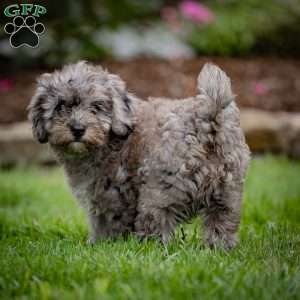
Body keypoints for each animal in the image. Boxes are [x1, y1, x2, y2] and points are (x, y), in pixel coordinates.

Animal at [28, 61, 250, 248]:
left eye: (96, 107)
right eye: (60, 106)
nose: (77, 129)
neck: (112, 139)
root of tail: (207, 119)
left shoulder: (111, 193)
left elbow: (106, 222)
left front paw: (101, 244)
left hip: (158, 192)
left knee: (157, 224)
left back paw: (147, 247)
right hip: (228, 190)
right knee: (222, 221)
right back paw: (218, 248)